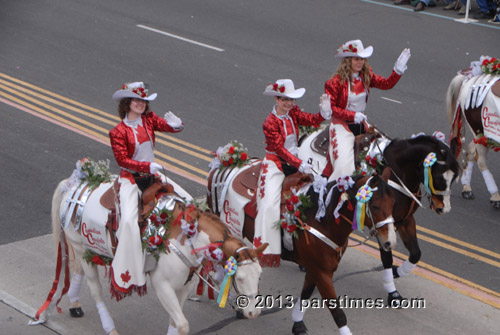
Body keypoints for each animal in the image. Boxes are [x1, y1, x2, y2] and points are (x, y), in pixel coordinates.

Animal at [33, 176, 268, 335]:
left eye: (259, 275)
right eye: (239, 278)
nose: (254, 313)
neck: (185, 238)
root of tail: (75, 185)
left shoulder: (184, 287)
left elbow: (176, 324)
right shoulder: (162, 285)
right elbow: (182, 325)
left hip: (86, 251)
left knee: (78, 270)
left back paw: (75, 305)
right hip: (82, 249)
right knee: (95, 290)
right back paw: (109, 327)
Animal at [206, 165, 394, 335]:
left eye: (393, 204)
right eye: (375, 206)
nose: (389, 242)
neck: (322, 220)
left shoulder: (316, 268)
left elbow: (305, 295)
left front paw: (297, 323)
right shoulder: (322, 272)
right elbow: (337, 312)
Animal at [296, 129, 460, 308]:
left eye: (454, 178)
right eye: (438, 176)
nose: (443, 208)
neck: (396, 174)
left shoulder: (405, 220)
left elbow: (416, 254)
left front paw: (396, 271)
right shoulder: (381, 224)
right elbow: (387, 257)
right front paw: (392, 292)